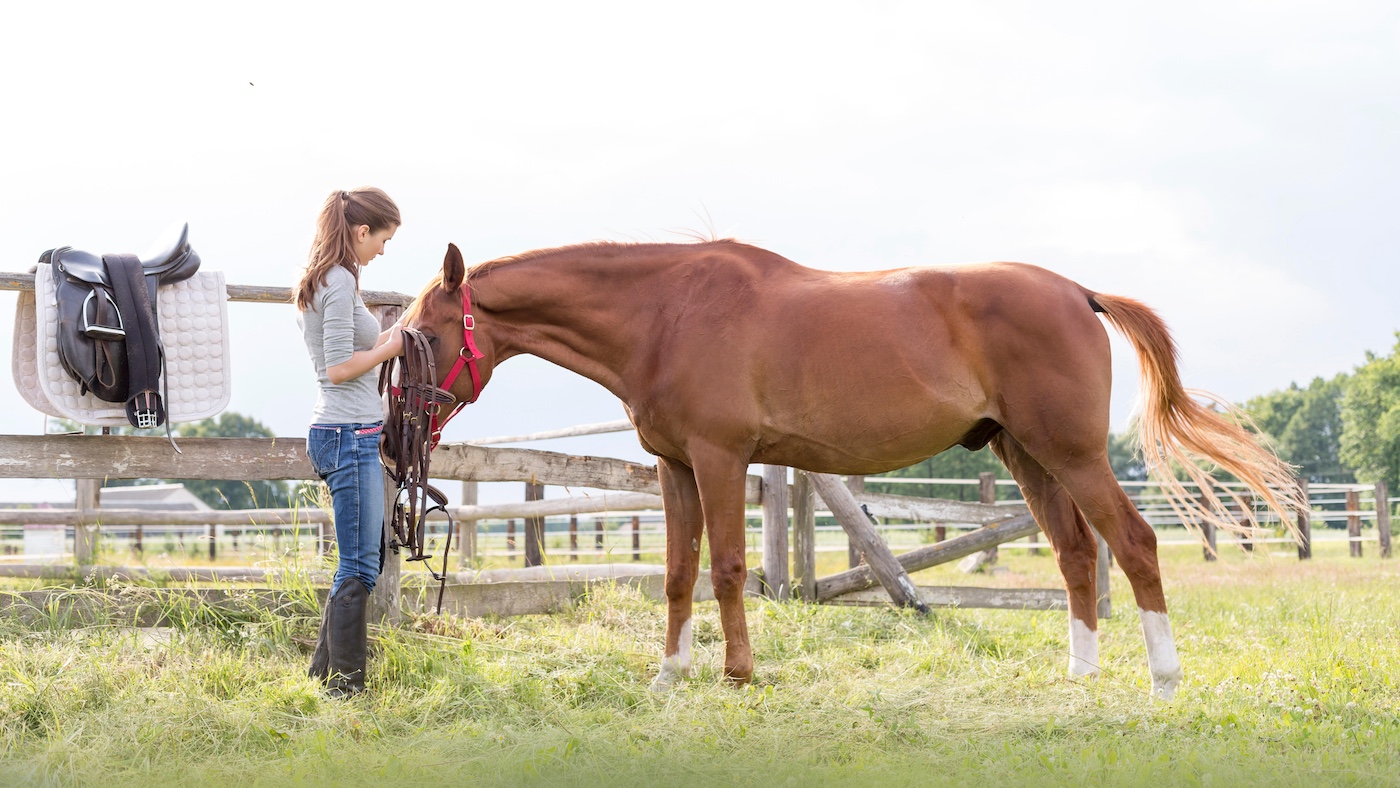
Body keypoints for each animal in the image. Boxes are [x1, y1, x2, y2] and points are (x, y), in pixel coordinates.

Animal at [403, 240, 1303, 701]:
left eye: (425, 333)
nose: (399, 434)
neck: (668, 311)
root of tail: (1078, 291)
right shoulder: (676, 469)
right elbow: (678, 574)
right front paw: (669, 675)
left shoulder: (722, 460)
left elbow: (727, 568)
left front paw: (737, 673)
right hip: (1026, 454)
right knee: (1079, 554)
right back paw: (1078, 680)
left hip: (1071, 453)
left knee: (1136, 544)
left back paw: (1163, 681)